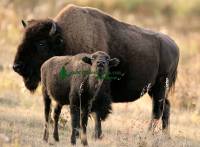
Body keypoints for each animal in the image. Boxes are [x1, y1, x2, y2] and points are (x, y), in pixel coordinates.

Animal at [14, 4, 180, 138]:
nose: (17, 66)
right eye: (23, 39)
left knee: (157, 110)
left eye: (41, 43)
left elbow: (96, 111)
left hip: (159, 86)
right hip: (155, 89)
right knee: (165, 107)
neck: (66, 39)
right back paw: (165, 136)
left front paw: (96, 135)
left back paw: (149, 135)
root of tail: (174, 46)